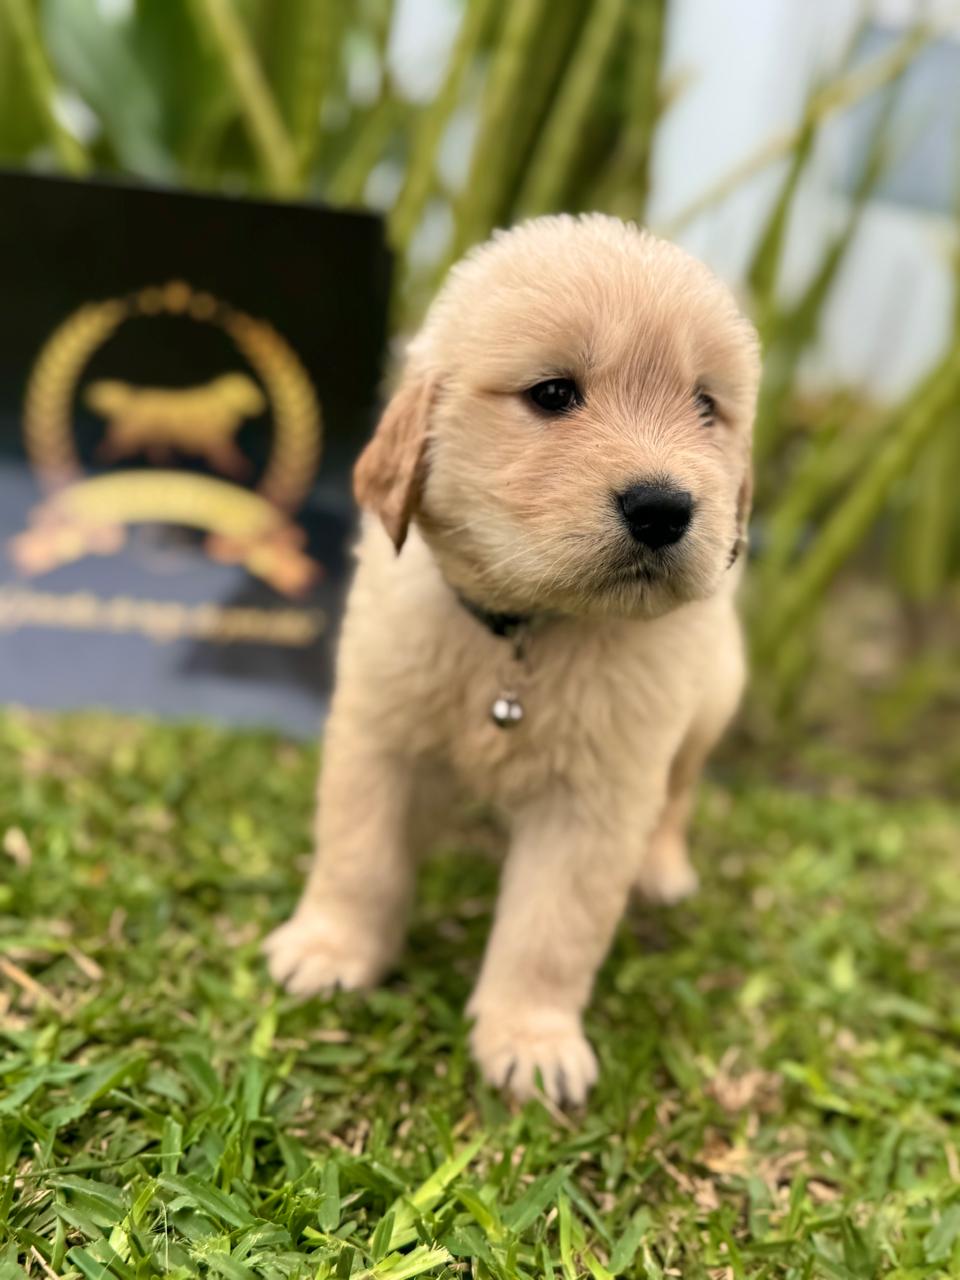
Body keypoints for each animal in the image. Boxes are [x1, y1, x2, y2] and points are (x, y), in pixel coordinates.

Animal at [87, 373, 265, 478]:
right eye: (248, 389)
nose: (262, 403)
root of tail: (130, 399)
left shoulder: (215, 442)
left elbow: (228, 456)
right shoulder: (216, 442)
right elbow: (229, 457)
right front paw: (238, 469)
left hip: (154, 435)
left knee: (154, 450)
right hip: (131, 433)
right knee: (114, 443)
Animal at [265, 214, 760, 1104]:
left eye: (707, 406)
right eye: (553, 395)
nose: (665, 508)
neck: (526, 633)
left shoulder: (597, 802)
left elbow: (552, 929)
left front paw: (531, 1039)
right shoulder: (377, 735)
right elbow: (359, 856)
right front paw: (331, 949)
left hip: (708, 705)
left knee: (680, 791)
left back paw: (663, 867)